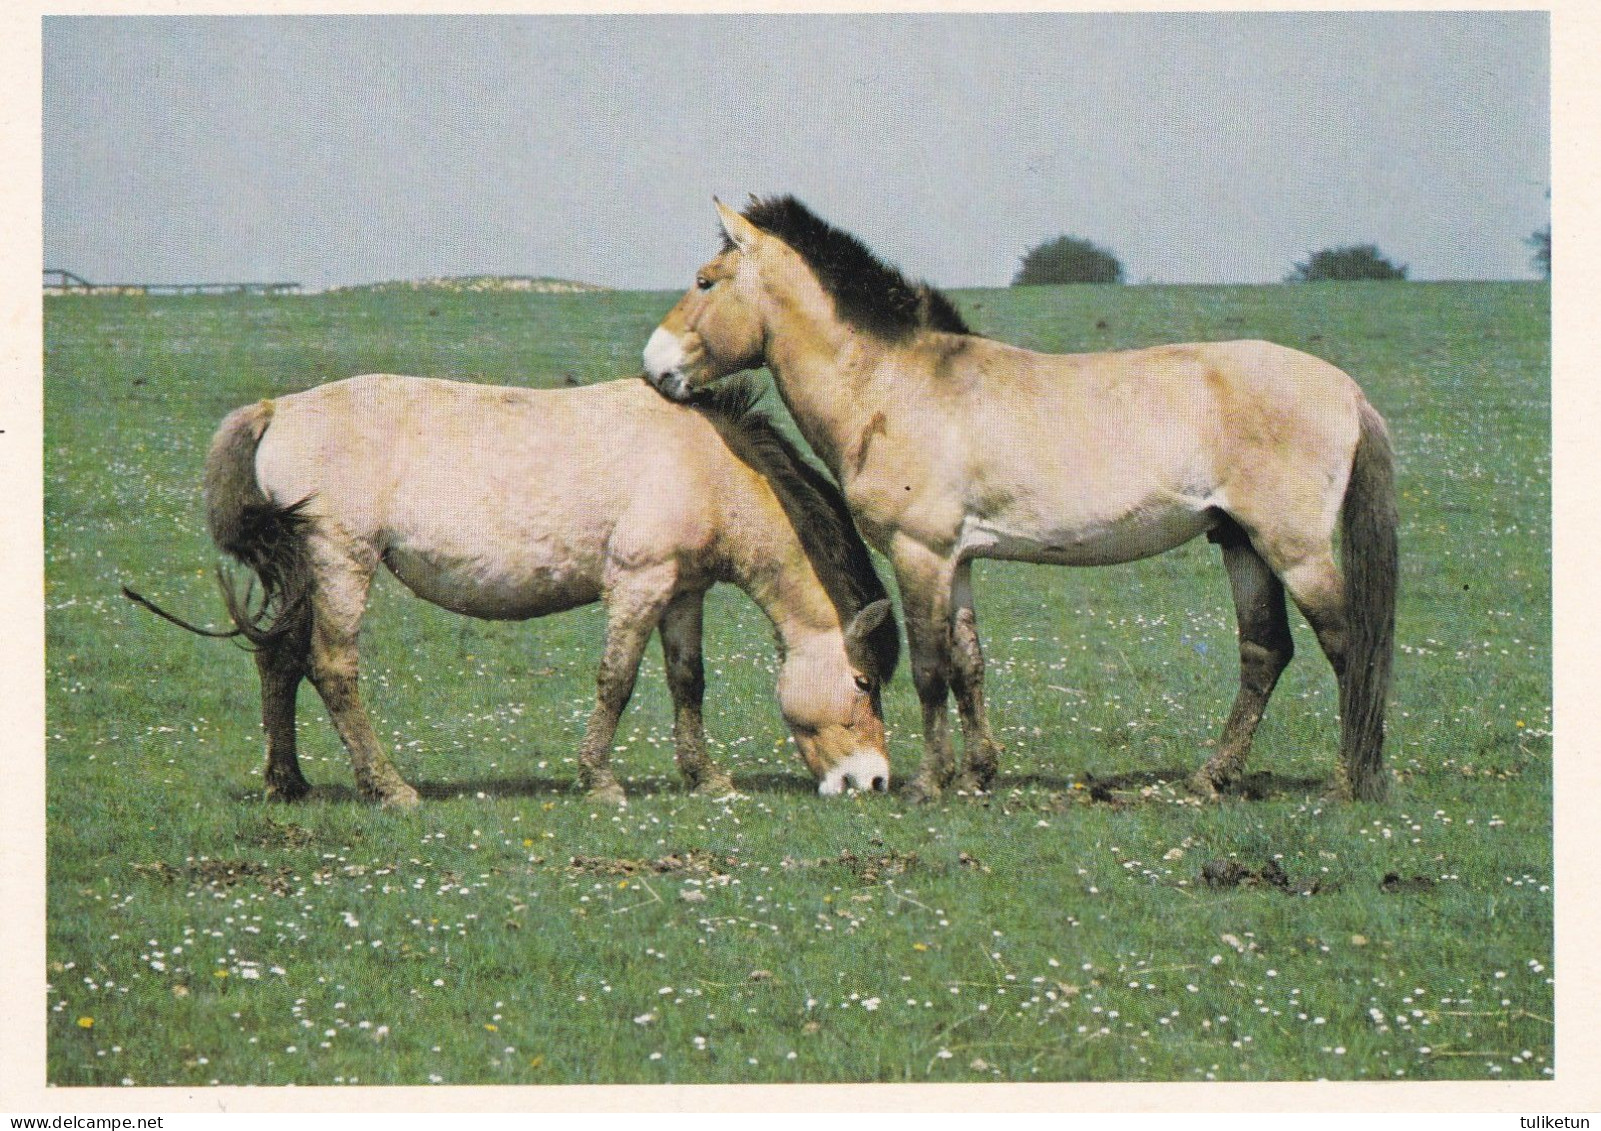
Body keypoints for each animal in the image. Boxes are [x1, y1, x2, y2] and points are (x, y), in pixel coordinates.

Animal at [124, 374, 902, 807]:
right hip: (340, 563)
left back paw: (288, 783)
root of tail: (276, 408)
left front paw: (706, 778)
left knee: (278, 661)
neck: (707, 461)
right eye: (863, 683)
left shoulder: (683, 592)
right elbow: (617, 680)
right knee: (331, 668)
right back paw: (390, 789)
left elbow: (688, 681)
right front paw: (600, 779)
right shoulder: (639, 583)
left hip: (300, 573)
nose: (874, 781)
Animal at [643, 200, 1396, 800]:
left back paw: (1347, 780)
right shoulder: (958, 559)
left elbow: (929, 667)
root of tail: (1345, 389)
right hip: (1239, 541)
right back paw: (1212, 777)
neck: (894, 385)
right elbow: (968, 664)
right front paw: (978, 773)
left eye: (705, 281)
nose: (654, 369)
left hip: (1291, 548)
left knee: (1346, 643)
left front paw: (928, 783)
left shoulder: (919, 553)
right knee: (1264, 652)